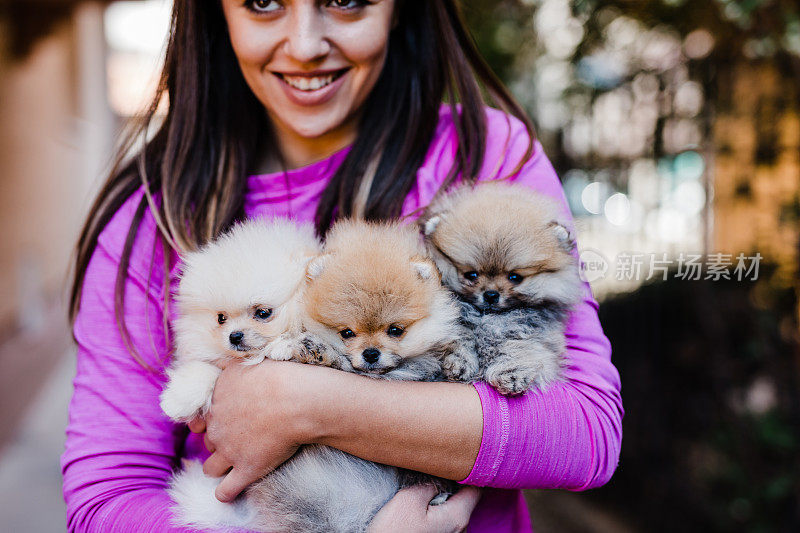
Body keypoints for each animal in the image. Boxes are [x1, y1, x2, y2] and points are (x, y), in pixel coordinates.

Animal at [418, 181, 580, 392]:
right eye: (471, 275)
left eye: (515, 277)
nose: (491, 294)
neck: (488, 318)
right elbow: (460, 338)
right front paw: (460, 362)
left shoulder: (529, 334)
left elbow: (518, 349)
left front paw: (512, 374)